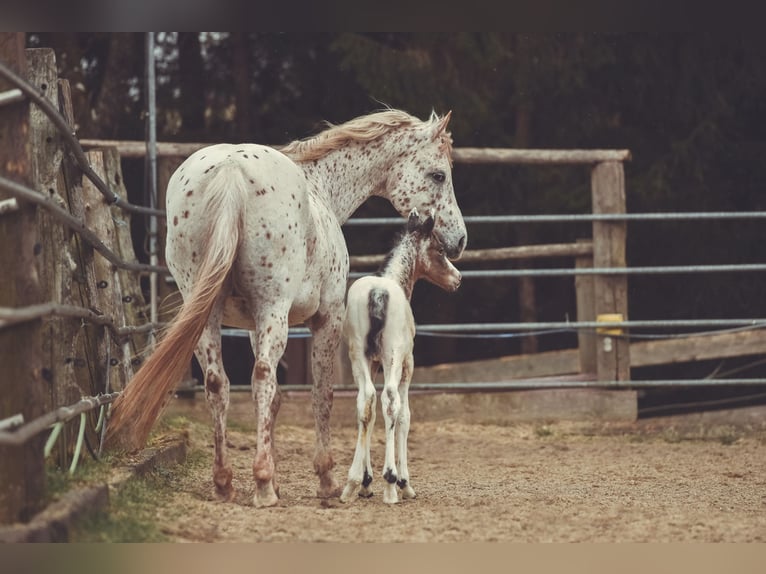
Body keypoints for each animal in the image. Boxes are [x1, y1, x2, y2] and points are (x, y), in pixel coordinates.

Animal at [340, 209, 461, 504]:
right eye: (440, 249)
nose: (457, 278)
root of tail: (378, 293)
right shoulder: (408, 364)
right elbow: (405, 415)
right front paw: (404, 483)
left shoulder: (372, 364)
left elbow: (368, 414)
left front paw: (365, 482)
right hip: (393, 358)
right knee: (390, 401)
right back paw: (391, 484)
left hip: (358, 356)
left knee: (366, 400)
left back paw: (351, 484)